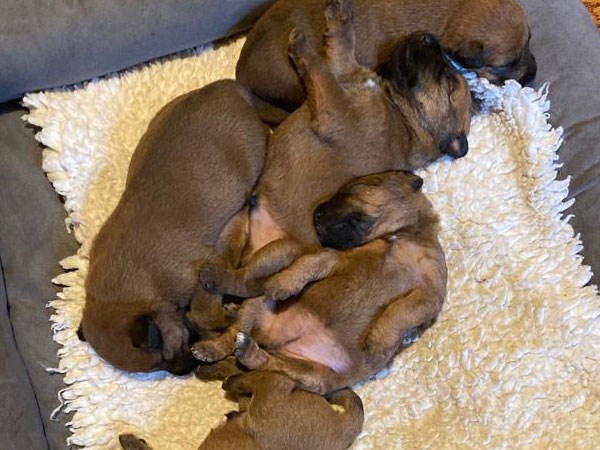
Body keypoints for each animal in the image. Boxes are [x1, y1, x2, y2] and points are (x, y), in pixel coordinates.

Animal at [77, 80, 268, 374]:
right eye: (157, 366)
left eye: (165, 353)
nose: (185, 370)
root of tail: (227, 86)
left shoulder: (205, 270)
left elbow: (201, 312)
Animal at [192, 170, 447, 394]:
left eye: (356, 187)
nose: (316, 214)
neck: (398, 237)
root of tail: (271, 341)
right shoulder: (334, 257)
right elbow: (308, 264)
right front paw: (282, 284)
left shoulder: (430, 295)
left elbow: (401, 311)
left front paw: (378, 340)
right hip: (258, 306)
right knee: (235, 326)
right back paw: (212, 344)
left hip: (314, 376)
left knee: (267, 362)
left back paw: (245, 351)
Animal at [195, 0, 468, 302]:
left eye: (447, 78)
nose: (430, 37)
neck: (403, 118)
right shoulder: (344, 73)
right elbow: (340, 49)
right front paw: (340, 17)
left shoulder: (335, 108)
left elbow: (320, 71)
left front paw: (302, 47)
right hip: (236, 224)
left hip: (282, 251)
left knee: (246, 282)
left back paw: (215, 278)